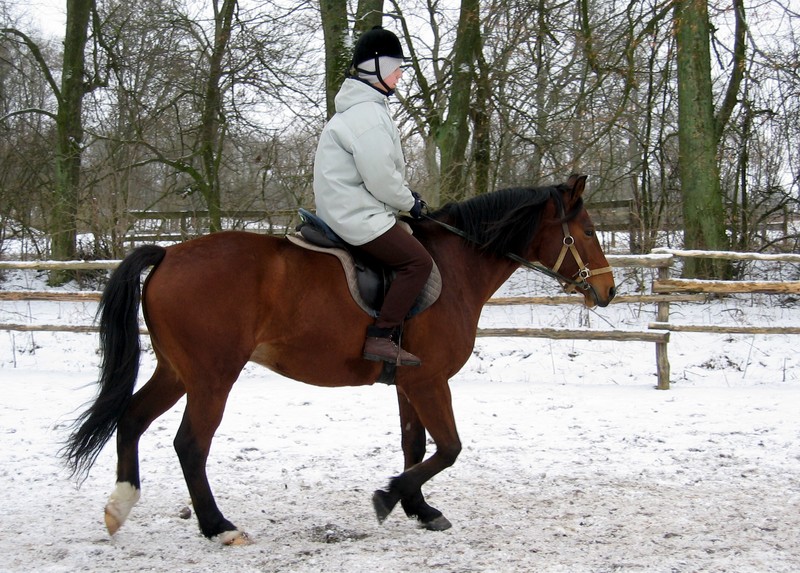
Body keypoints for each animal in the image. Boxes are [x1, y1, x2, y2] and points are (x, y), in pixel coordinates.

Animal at [63, 174, 616, 545]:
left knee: (131, 419)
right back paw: (218, 527)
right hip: (212, 377)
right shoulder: (432, 381)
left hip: (178, 371)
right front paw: (389, 497)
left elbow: (416, 445)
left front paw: (419, 508)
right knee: (190, 445)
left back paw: (120, 507)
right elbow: (449, 448)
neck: (456, 267)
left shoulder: (411, 383)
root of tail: (169, 254)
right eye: (588, 231)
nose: (608, 290)